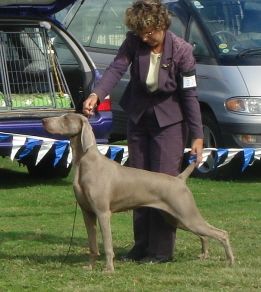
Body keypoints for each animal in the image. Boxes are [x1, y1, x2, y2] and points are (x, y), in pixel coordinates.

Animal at [42, 113, 234, 272]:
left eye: (66, 118)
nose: (44, 121)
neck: (85, 163)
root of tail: (179, 179)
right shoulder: (87, 213)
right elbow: (92, 245)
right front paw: (90, 267)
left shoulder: (103, 213)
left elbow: (108, 246)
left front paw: (109, 270)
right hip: (177, 218)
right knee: (204, 235)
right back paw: (205, 255)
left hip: (186, 215)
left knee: (221, 233)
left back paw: (230, 261)